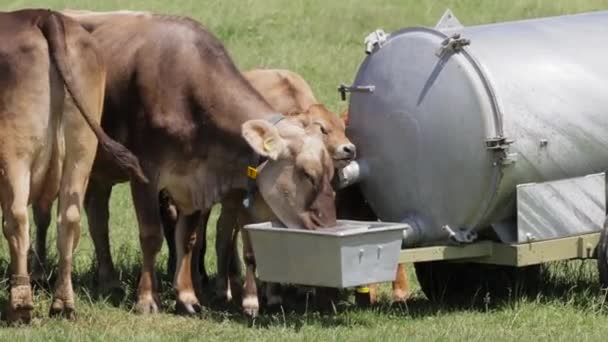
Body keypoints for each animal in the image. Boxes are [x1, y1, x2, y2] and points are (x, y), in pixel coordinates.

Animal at [0, 8, 146, 324]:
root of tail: (43, 16)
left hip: (14, 153)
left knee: (16, 219)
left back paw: (20, 304)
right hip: (81, 150)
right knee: (68, 218)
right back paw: (63, 303)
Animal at [40, 9, 340, 316]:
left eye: (331, 174)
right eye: (307, 173)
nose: (328, 224)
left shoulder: (196, 180)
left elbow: (188, 238)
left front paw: (186, 296)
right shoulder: (146, 173)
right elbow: (151, 235)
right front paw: (147, 298)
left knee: (98, 216)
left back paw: (109, 280)